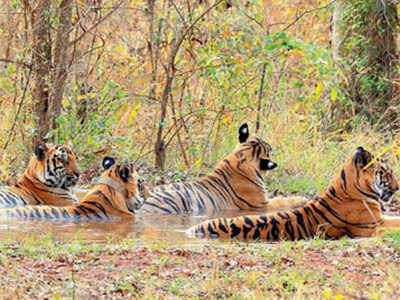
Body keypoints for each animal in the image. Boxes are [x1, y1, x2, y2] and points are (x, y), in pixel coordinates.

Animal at [138, 123, 306, 214]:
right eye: (269, 150)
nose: (273, 148)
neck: (240, 158)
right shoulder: (261, 205)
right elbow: (281, 201)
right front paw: (301, 199)